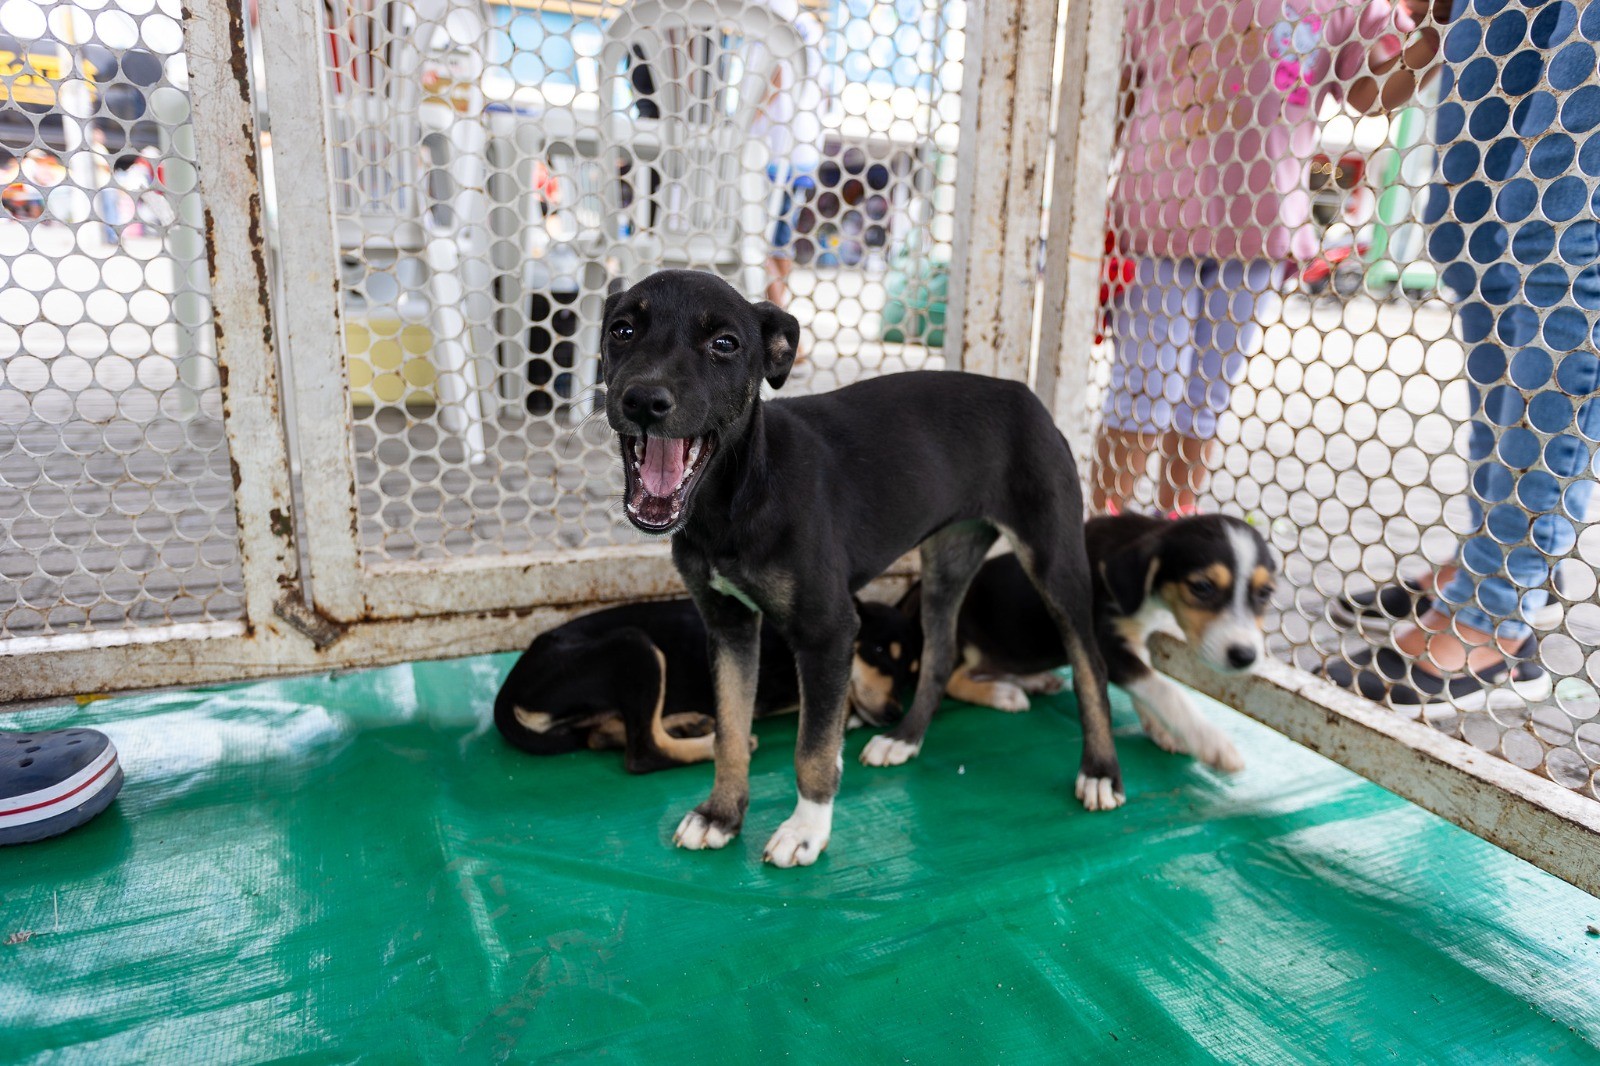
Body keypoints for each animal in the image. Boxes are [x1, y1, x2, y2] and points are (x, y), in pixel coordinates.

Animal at [499, 592, 928, 768]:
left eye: (912, 676)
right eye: (876, 651)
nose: (894, 713)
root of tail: (508, 690)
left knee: (607, 734)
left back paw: (689, 723)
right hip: (634, 645)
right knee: (643, 752)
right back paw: (712, 743)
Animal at [598, 265, 1113, 864]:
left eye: (724, 344)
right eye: (622, 331)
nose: (643, 401)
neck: (737, 494)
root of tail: (1024, 393)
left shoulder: (829, 632)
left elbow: (812, 747)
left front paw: (806, 830)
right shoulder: (728, 626)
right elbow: (730, 730)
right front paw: (722, 815)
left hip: (1054, 560)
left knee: (1089, 663)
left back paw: (1101, 772)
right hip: (947, 561)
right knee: (939, 654)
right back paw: (904, 739)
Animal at [908, 512, 1280, 768]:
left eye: (1265, 593)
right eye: (1201, 587)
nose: (1245, 656)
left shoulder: (1132, 638)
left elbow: (1148, 683)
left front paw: (1163, 729)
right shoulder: (1105, 646)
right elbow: (1166, 689)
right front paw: (1210, 741)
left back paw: (1034, 681)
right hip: (962, 641)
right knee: (952, 679)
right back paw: (1002, 693)